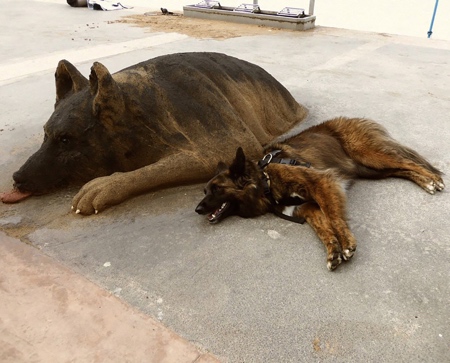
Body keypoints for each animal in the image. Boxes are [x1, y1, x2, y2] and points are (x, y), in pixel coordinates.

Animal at [195, 118, 444, 272]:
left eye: (217, 189)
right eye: (205, 191)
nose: (197, 209)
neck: (264, 181)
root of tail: (349, 119)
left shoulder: (322, 182)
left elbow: (334, 218)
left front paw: (347, 243)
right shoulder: (308, 208)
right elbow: (324, 230)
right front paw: (333, 251)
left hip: (369, 156)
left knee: (408, 162)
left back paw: (433, 179)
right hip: (369, 169)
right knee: (401, 170)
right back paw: (426, 182)